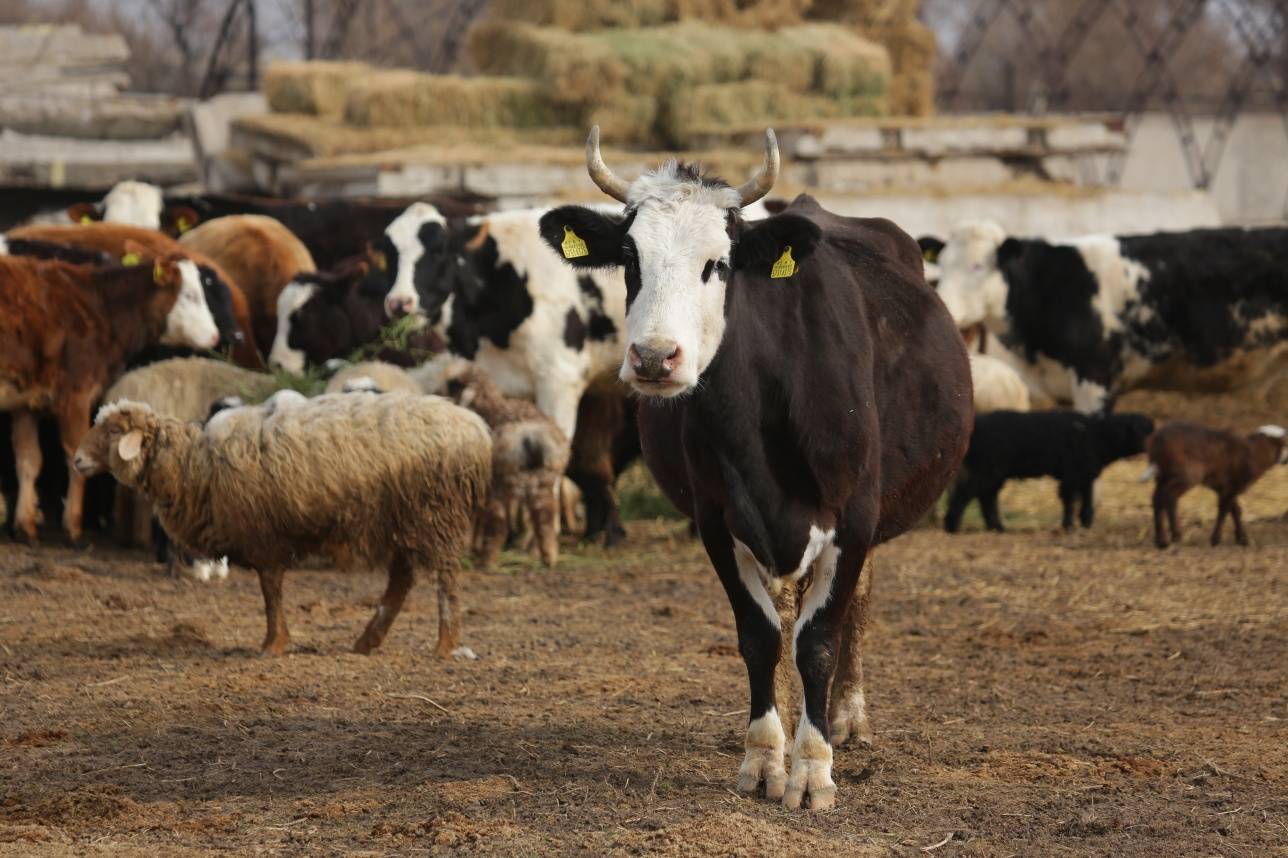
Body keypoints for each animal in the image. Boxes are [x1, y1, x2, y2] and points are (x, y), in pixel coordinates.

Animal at [1, 247, 211, 541]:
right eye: (191, 295)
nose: (215, 336)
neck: (101, 308)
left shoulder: (25, 404)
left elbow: (28, 461)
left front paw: (25, 525)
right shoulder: (76, 395)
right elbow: (74, 458)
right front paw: (73, 528)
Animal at [74, 394, 492, 654]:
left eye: (113, 431)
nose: (77, 460)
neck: (195, 465)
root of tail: (475, 429)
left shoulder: (264, 536)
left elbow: (270, 592)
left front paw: (272, 644)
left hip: (434, 512)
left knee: (445, 580)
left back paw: (445, 645)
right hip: (402, 518)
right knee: (402, 581)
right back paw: (367, 641)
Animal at [538, 128, 968, 809]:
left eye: (717, 263)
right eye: (630, 260)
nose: (654, 357)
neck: (761, 414)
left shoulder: (853, 519)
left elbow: (819, 640)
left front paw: (814, 768)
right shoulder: (717, 519)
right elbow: (761, 635)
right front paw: (767, 757)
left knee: (856, 606)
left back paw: (847, 717)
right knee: (784, 608)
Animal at [1148, 419, 1288, 548]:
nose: (1286, 460)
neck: (1255, 452)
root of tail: (1159, 439)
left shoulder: (1227, 487)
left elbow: (1235, 510)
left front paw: (1242, 539)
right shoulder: (1231, 486)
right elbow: (1224, 510)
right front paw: (1216, 539)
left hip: (1162, 475)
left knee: (1157, 499)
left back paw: (1161, 541)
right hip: (1187, 474)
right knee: (1170, 496)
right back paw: (1176, 534)